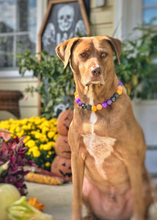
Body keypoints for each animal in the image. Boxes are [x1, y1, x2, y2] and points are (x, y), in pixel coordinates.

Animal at [56, 36, 153, 220]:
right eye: (83, 54)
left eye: (104, 54)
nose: (96, 71)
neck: (95, 104)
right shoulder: (76, 157)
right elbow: (76, 199)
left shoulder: (130, 156)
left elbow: (137, 202)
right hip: (86, 185)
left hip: (148, 185)